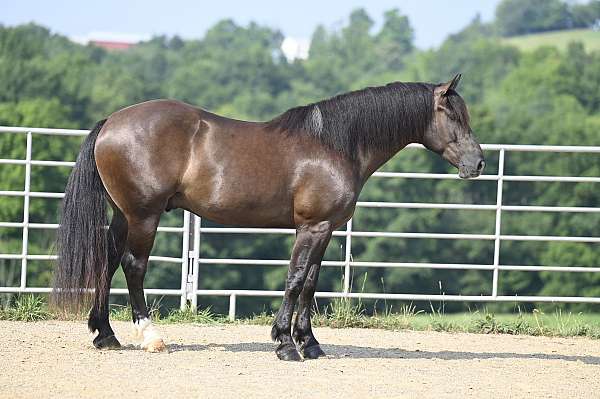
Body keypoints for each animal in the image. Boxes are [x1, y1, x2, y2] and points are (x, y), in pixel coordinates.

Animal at [50, 73, 482, 360]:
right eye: (454, 117)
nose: (478, 163)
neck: (334, 145)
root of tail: (112, 122)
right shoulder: (312, 226)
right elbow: (295, 280)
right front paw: (285, 344)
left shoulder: (323, 230)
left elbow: (310, 283)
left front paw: (310, 343)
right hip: (144, 215)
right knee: (133, 265)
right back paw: (150, 336)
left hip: (124, 214)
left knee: (106, 261)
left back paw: (105, 335)